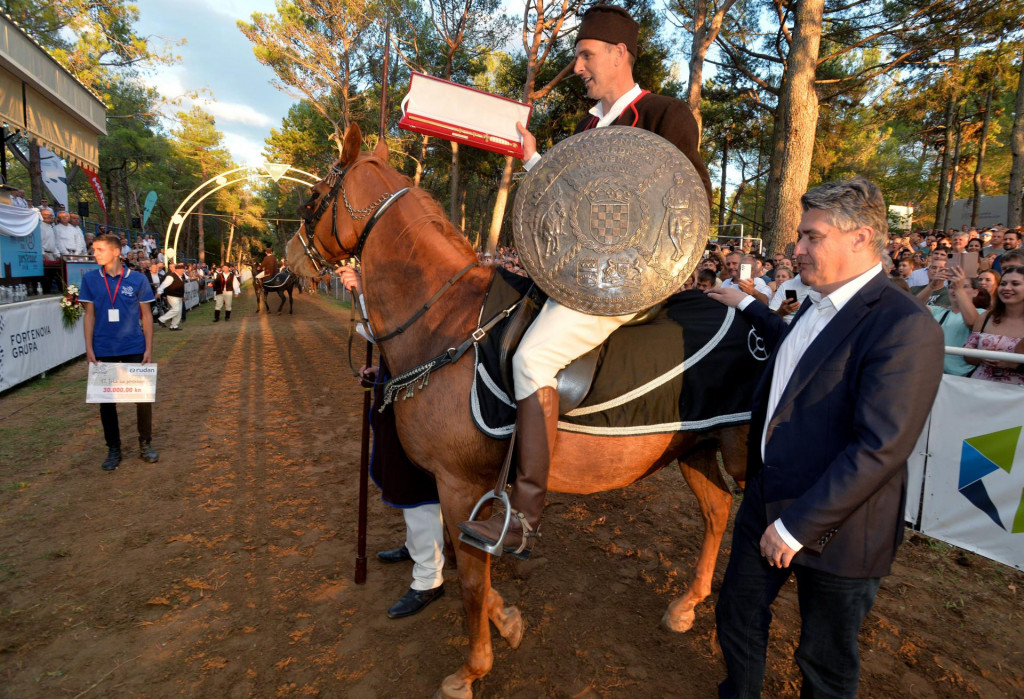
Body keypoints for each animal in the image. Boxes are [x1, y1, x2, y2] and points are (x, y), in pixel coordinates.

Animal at [284, 125, 749, 699]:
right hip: (698, 447)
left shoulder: (459, 484)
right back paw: (686, 606)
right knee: (717, 511)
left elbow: (470, 579)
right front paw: (506, 622)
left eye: (312, 198)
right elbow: (473, 573)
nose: (289, 259)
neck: (444, 321)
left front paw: (471, 670)